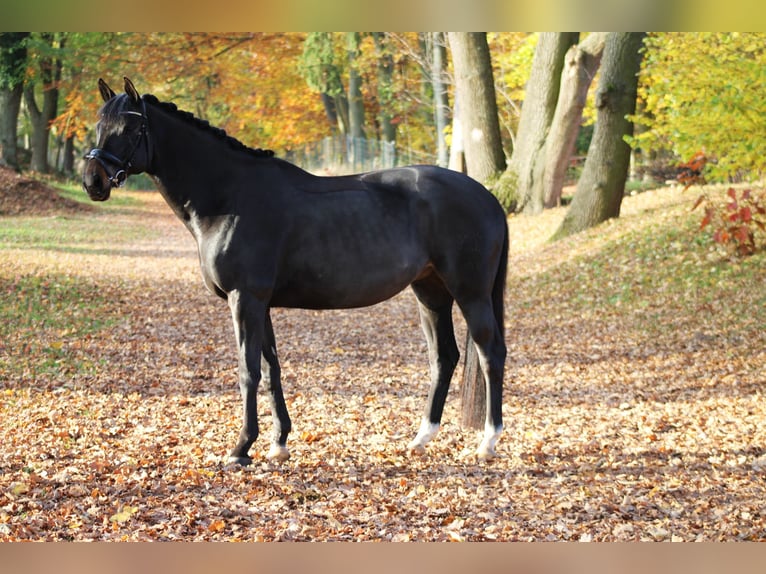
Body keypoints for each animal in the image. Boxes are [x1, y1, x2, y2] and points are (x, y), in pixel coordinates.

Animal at [82, 77, 510, 464]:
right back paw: (421, 438)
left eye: (130, 128)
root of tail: (488, 197)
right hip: (430, 292)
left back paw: (487, 442)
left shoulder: (245, 299)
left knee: (490, 352)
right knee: (444, 357)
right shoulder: (262, 304)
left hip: (469, 292)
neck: (228, 197)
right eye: (100, 125)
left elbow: (248, 371)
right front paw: (278, 443)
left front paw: (241, 449)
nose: (93, 181)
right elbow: (272, 369)